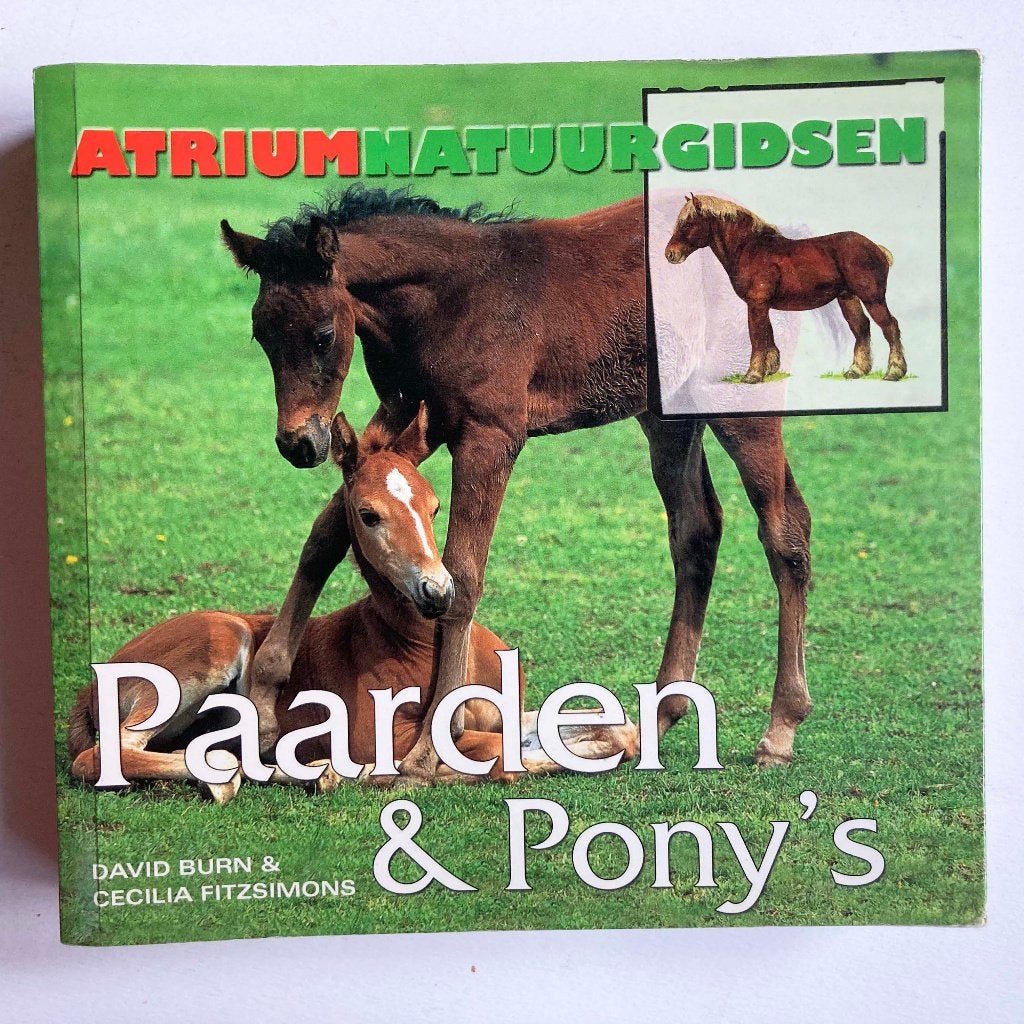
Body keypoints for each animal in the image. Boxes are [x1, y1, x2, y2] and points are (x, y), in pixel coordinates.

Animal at [67, 405, 638, 803]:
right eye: (368, 514)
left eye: (435, 506)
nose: (438, 592)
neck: (424, 644)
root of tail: (91, 683)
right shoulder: (385, 735)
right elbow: (492, 756)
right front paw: (401, 775)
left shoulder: (512, 713)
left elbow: (614, 732)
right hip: (216, 645)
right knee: (105, 754)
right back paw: (271, 774)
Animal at [220, 184, 813, 781]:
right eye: (259, 333)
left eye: (322, 336)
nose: (298, 444)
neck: (449, 301)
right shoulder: (409, 419)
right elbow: (326, 534)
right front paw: (264, 703)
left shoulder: (491, 435)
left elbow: (461, 576)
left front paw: (430, 749)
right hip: (667, 417)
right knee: (697, 532)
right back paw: (657, 719)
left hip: (738, 405)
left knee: (784, 532)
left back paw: (779, 732)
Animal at [665, 193, 906, 385]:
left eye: (687, 224)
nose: (670, 254)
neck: (750, 249)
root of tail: (877, 248)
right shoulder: (761, 305)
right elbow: (768, 334)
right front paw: (769, 369)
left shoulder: (757, 304)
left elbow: (757, 337)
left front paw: (753, 375)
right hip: (848, 298)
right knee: (862, 328)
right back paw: (856, 371)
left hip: (872, 298)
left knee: (890, 326)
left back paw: (894, 372)